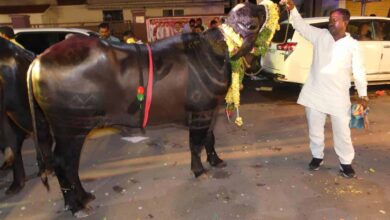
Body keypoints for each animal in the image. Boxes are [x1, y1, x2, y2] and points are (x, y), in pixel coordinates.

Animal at [28, 1, 272, 217]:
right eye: (248, 14)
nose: (261, 5)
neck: (216, 52)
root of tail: (40, 59)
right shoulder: (200, 112)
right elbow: (195, 145)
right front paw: (199, 170)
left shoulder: (210, 111)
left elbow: (209, 139)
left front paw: (215, 160)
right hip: (71, 128)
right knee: (63, 163)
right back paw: (75, 205)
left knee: (70, 166)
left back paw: (85, 196)